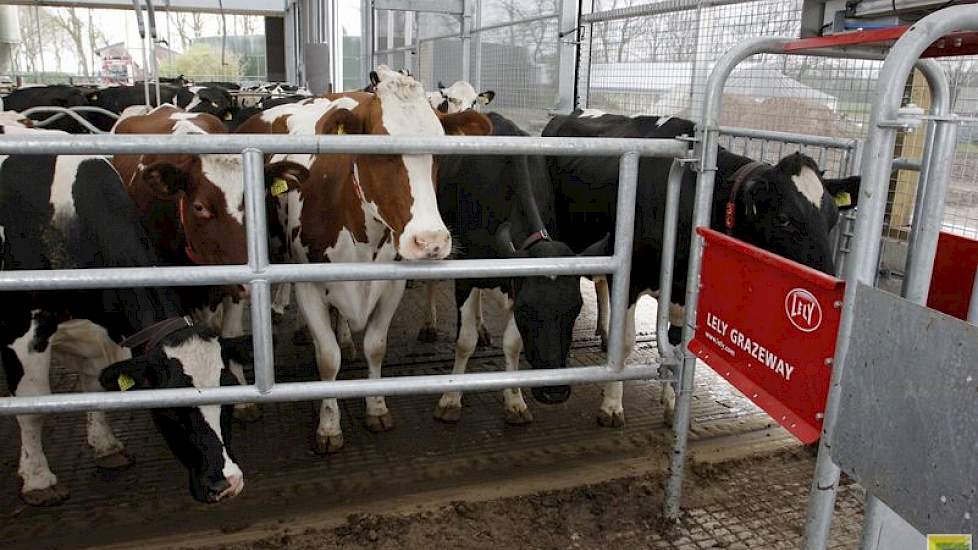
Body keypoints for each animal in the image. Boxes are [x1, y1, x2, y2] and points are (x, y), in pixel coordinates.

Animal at [0, 122, 252, 508]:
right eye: (170, 409)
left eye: (229, 395)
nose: (228, 484)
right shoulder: (23, 328)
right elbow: (32, 404)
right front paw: (39, 480)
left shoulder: (100, 328)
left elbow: (95, 384)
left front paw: (106, 447)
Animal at [238, 69, 496, 454]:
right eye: (378, 150)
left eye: (439, 152)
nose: (431, 241)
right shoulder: (309, 285)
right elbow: (327, 357)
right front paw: (329, 425)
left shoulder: (392, 284)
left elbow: (375, 347)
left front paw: (376, 408)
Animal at [432, 111, 608, 422]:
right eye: (527, 309)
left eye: (575, 309)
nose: (554, 392)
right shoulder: (465, 273)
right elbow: (464, 341)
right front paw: (450, 399)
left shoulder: (515, 282)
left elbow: (512, 344)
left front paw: (514, 401)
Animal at [544, 108, 856, 426]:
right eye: (784, 218)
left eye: (833, 217)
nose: (834, 288)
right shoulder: (631, 273)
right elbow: (626, 342)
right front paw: (611, 406)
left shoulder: (683, 288)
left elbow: (676, 342)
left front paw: (672, 404)